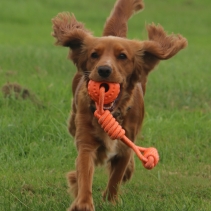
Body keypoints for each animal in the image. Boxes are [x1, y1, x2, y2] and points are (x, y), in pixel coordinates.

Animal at [52, 0, 187, 210]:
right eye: (94, 55)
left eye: (122, 56)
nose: (104, 70)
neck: (113, 113)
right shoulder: (86, 142)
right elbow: (85, 173)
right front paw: (83, 203)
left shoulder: (125, 146)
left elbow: (116, 176)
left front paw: (111, 200)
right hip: (74, 120)